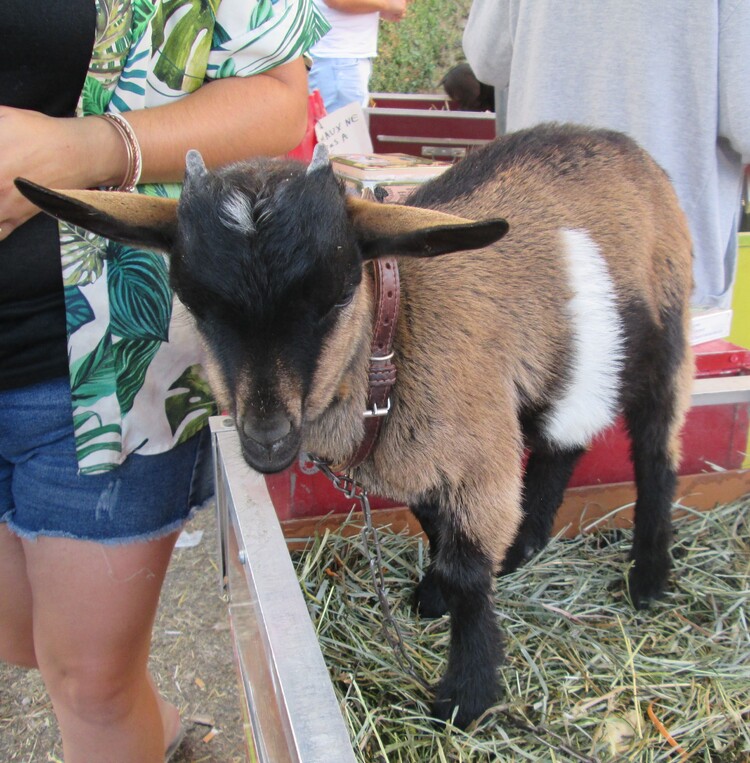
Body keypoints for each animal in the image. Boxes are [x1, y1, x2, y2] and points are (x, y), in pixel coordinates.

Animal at [16, 124, 692, 728]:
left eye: (335, 293)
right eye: (195, 302)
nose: (266, 437)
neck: (397, 336)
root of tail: (626, 148)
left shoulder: (479, 461)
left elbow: (468, 573)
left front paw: (466, 695)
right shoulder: (428, 464)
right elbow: (436, 531)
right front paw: (434, 597)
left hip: (665, 331)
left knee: (656, 452)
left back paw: (649, 576)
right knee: (563, 440)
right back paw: (529, 545)